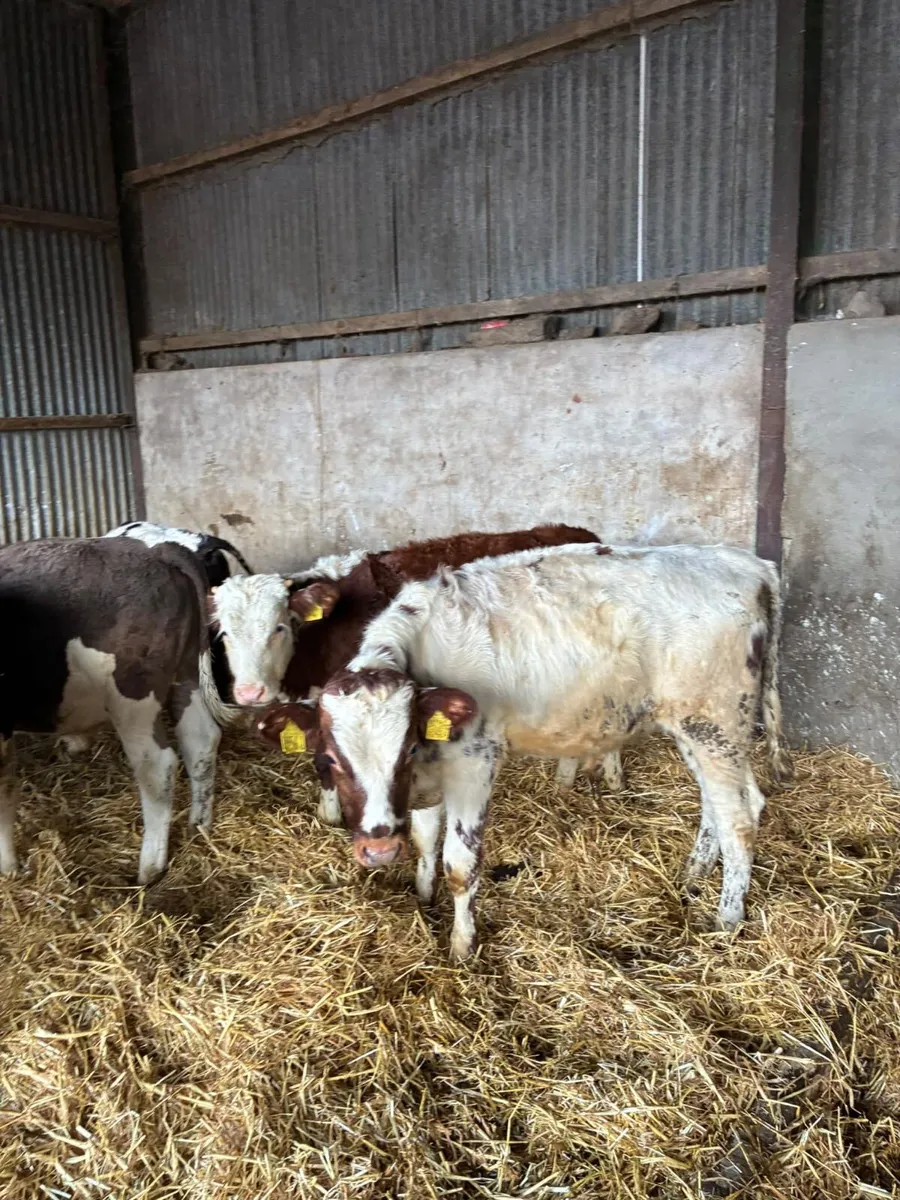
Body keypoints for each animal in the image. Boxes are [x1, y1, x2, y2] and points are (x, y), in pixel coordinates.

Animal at [0, 537, 234, 883]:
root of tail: (157, 552)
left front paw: (7, 866)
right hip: (186, 673)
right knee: (200, 740)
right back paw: (199, 826)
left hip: (133, 694)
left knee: (156, 765)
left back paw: (149, 868)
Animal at [254, 542, 794, 961]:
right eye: (329, 760)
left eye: (403, 750)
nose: (379, 848)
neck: (422, 643)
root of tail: (746, 562)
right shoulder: (431, 771)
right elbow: (427, 840)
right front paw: (423, 896)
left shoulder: (474, 759)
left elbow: (460, 862)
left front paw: (461, 947)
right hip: (706, 729)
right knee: (732, 806)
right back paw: (694, 874)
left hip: (714, 723)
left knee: (739, 823)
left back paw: (726, 920)